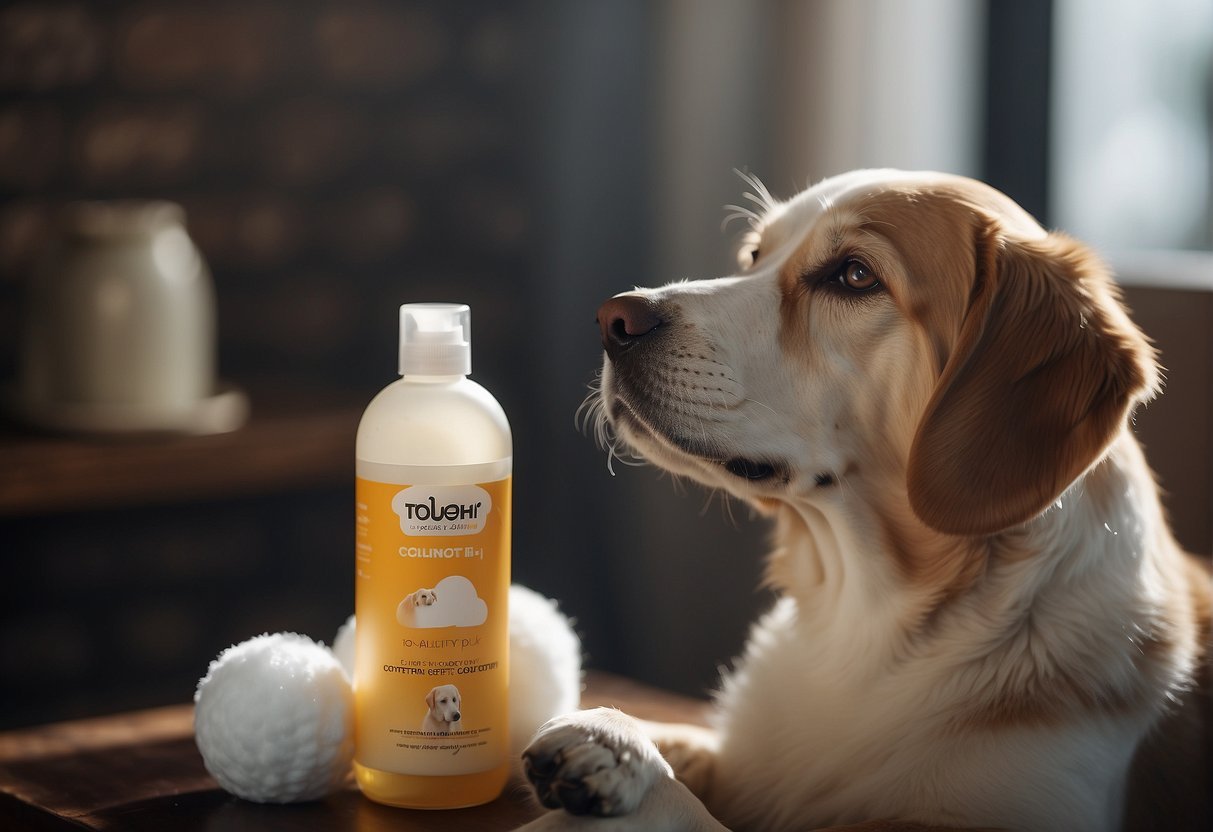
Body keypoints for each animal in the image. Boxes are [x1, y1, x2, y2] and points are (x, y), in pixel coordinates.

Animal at [516, 171, 1208, 832]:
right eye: (754, 256)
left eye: (854, 275)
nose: (614, 319)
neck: (863, 621)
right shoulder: (746, 763)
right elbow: (691, 746)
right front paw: (616, 734)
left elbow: (697, 812)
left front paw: (625, 761)